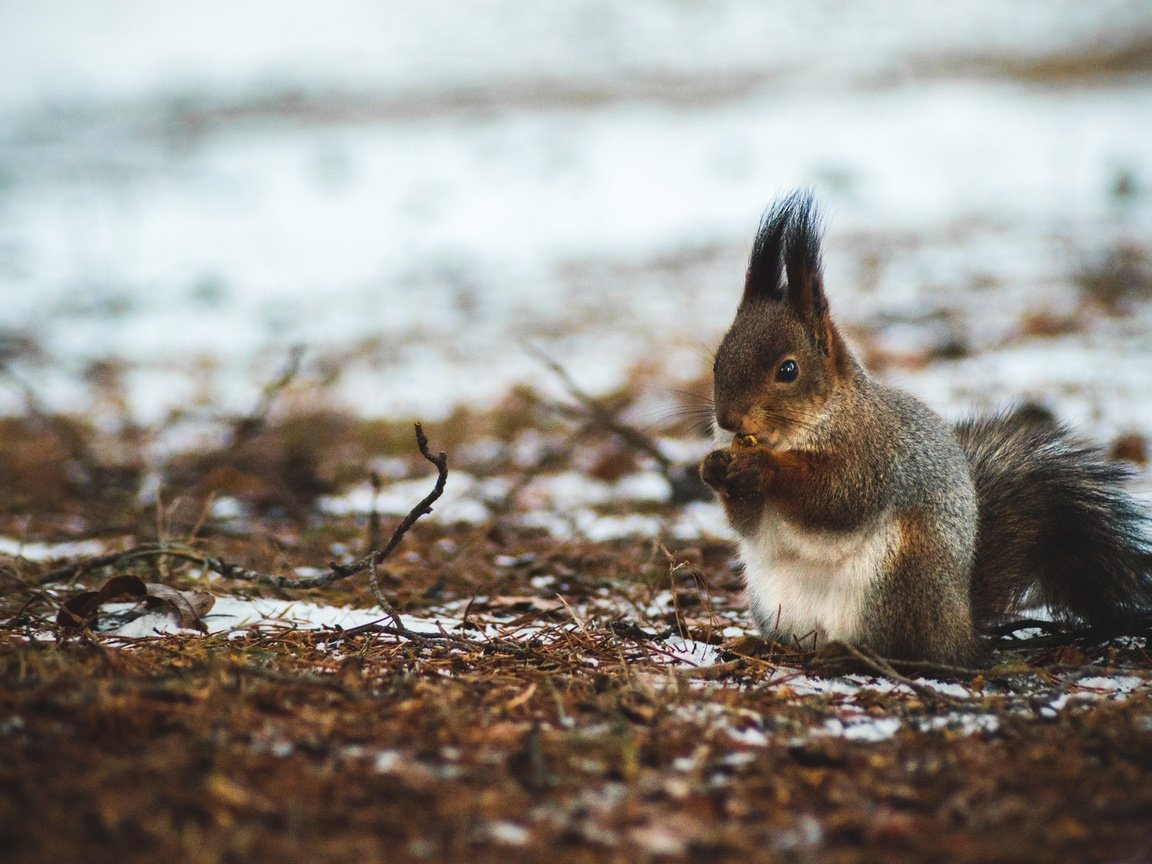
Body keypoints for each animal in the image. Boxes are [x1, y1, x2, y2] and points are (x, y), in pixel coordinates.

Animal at [700, 191, 1152, 663]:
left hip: (898, 580)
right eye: (717, 362)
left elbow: (835, 495)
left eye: (788, 370)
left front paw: (762, 467)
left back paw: (848, 652)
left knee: (901, 646)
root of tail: (959, 626)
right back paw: (761, 642)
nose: (728, 420)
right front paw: (711, 467)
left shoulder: (872, 454)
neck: (804, 428)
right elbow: (748, 523)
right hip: (775, 599)